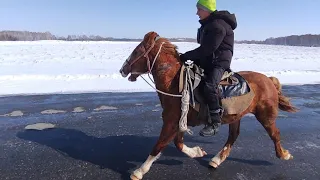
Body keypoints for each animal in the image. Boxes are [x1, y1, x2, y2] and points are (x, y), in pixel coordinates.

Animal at [119, 31, 296, 179]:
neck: (175, 83)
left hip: (265, 115)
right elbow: (178, 143)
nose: (122, 69)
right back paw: (216, 160)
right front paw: (197, 152)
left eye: (137, 51)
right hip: (236, 116)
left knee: (275, 134)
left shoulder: (171, 122)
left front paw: (139, 171)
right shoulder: (179, 121)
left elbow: (159, 145)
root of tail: (269, 80)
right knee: (233, 136)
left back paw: (283, 154)